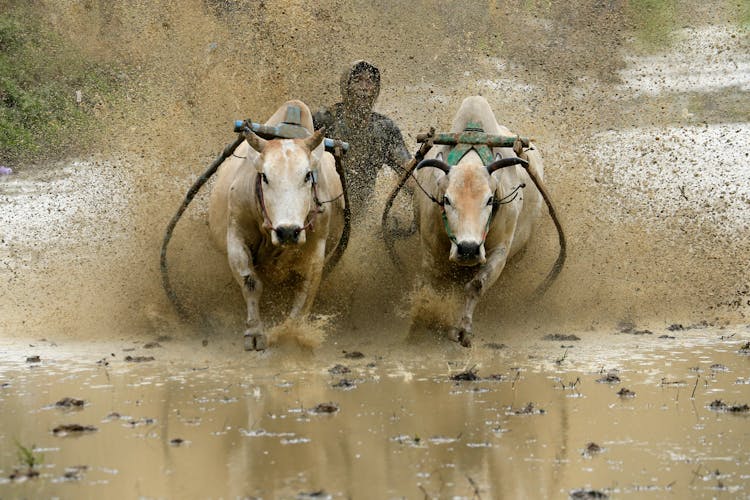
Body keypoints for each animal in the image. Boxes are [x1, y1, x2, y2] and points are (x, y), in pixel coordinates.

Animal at [207, 100, 346, 352]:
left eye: (307, 176)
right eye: (264, 177)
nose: (288, 231)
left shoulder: (316, 246)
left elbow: (305, 290)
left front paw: (292, 333)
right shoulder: (236, 235)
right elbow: (251, 282)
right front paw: (254, 333)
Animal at [414, 97, 568, 348]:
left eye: (490, 199)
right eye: (446, 199)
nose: (468, 249)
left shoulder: (500, 251)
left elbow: (476, 285)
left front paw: (464, 330)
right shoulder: (430, 250)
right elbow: (434, 287)